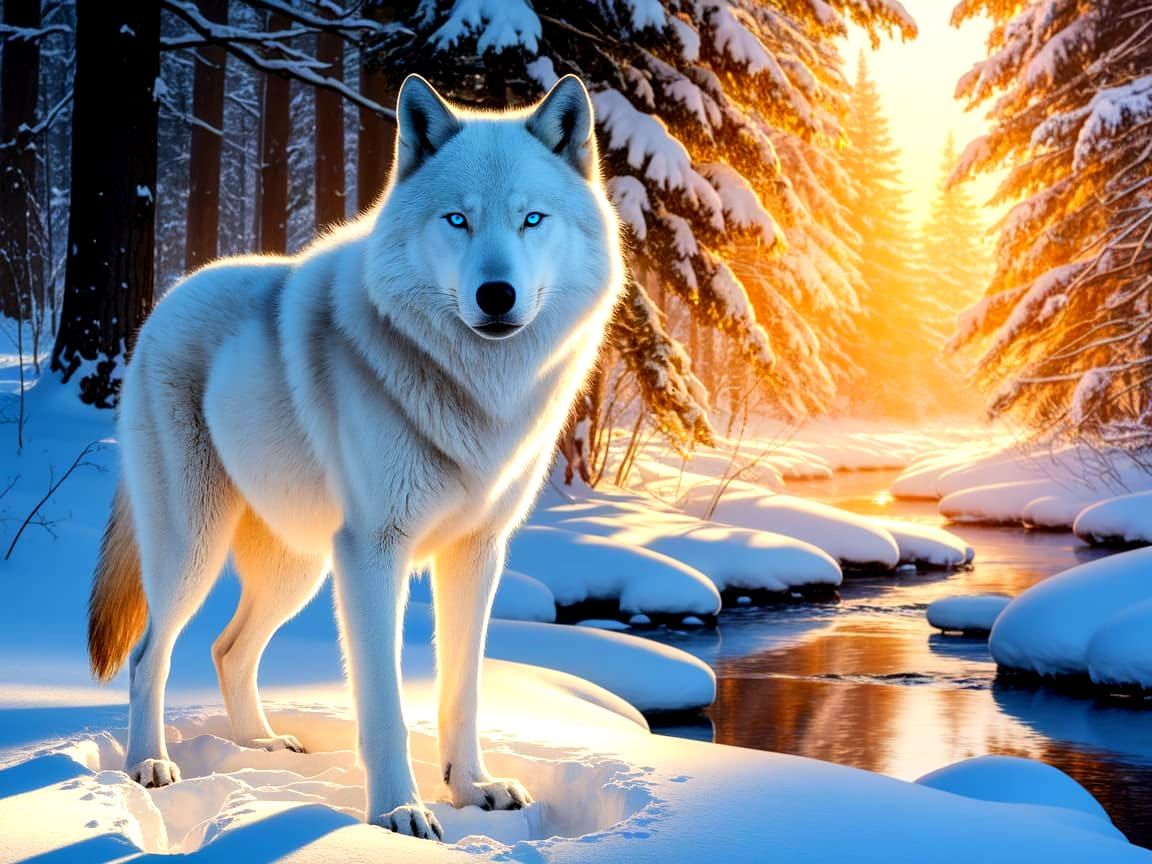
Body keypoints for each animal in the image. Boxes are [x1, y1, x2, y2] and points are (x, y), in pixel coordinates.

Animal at [86, 74, 623, 840]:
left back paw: (261, 745)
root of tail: (166, 301)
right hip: (195, 551)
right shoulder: (373, 553)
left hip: (299, 568)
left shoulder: (477, 553)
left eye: (532, 220)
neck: (474, 394)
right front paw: (399, 812)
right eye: (457, 220)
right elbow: (385, 706)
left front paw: (473, 790)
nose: (496, 295)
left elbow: (462, 692)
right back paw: (149, 766)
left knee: (227, 650)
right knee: (145, 656)